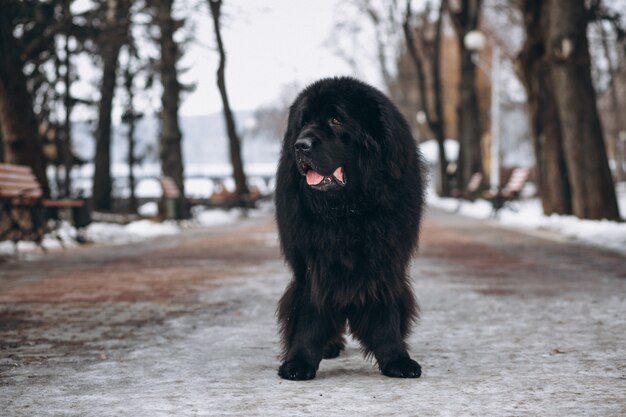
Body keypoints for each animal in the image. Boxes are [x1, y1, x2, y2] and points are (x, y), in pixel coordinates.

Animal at [272, 76, 424, 378]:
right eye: (303, 122)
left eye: (335, 119)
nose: (300, 145)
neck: (348, 210)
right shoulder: (314, 265)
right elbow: (310, 313)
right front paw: (299, 361)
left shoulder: (385, 260)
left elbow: (386, 313)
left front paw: (396, 358)